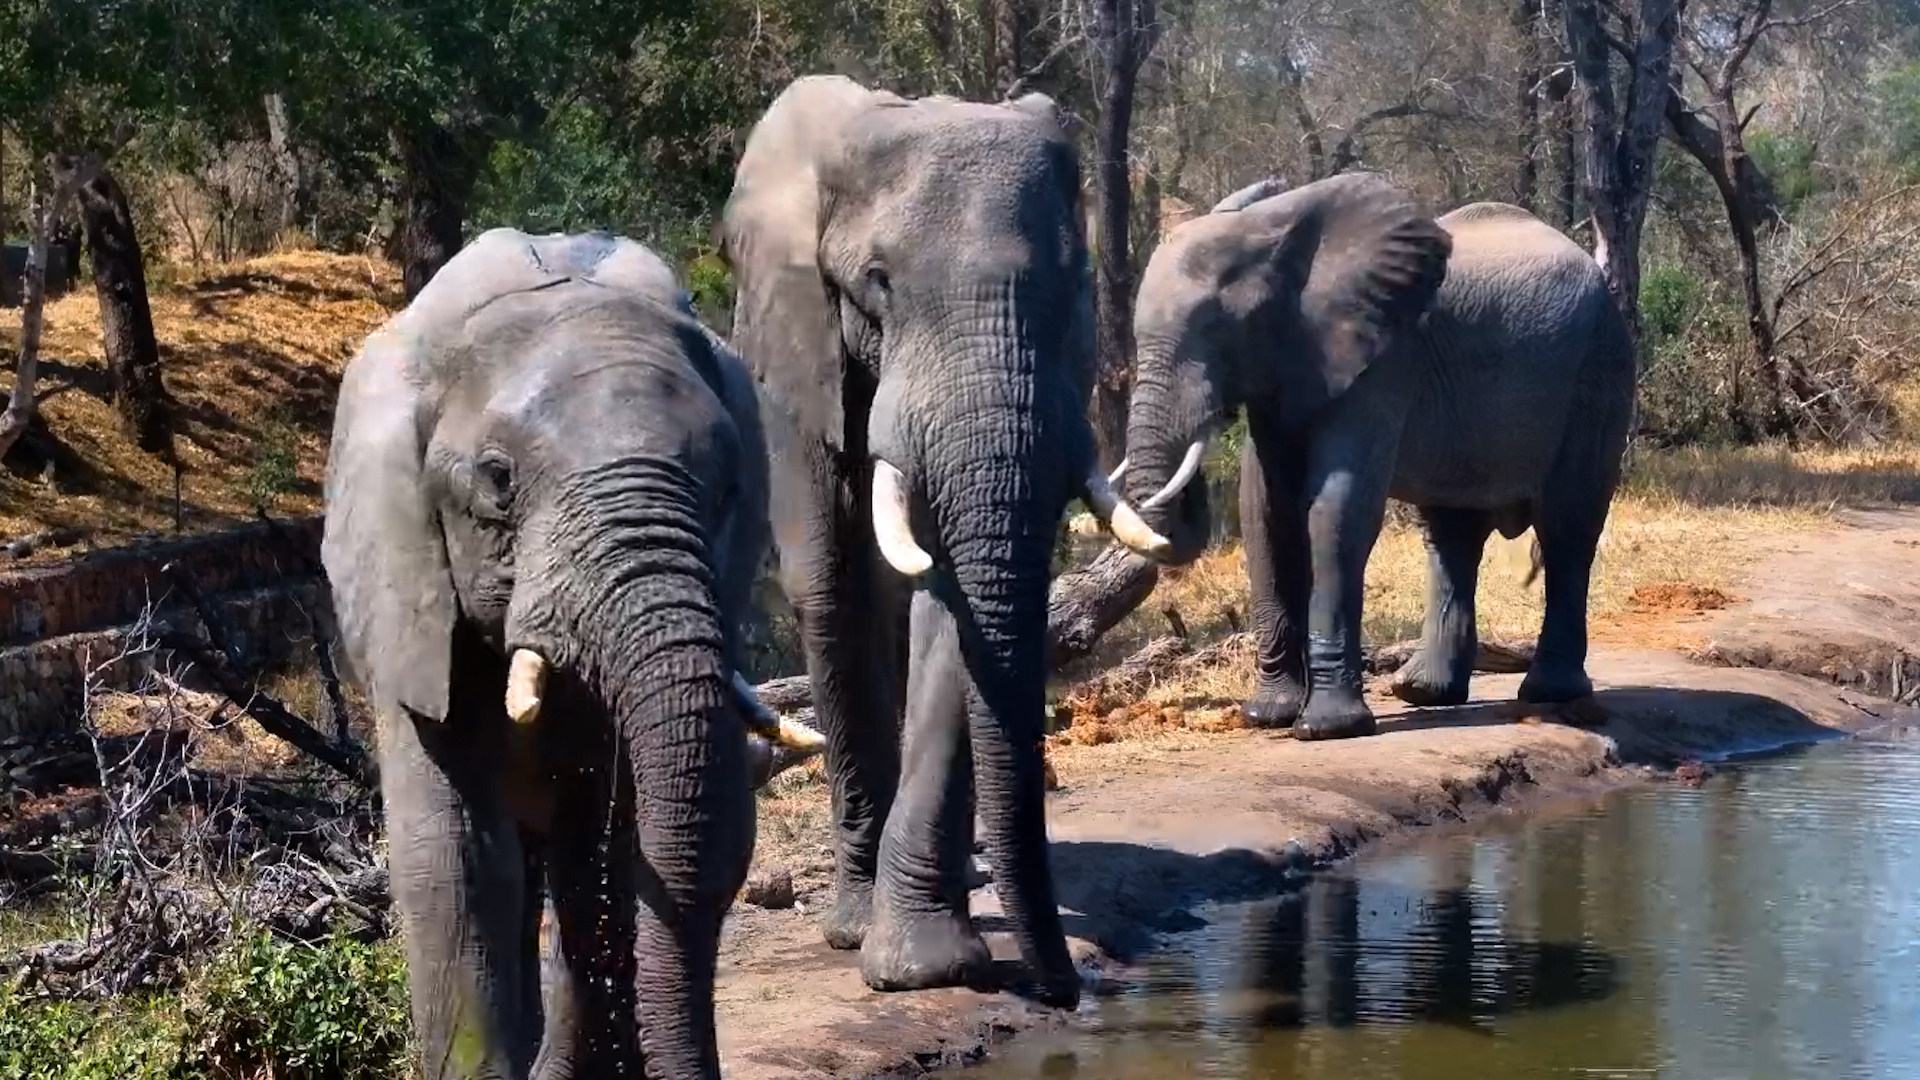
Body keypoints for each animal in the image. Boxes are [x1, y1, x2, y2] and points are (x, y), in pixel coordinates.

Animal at [716, 75, 1166, 1008]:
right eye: (878, 283)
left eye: (1070, 279)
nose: (1070, 992)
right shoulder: (797, 346)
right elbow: (835, 583)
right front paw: (898, 959)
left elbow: (946, 605)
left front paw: (928, 965)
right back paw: (858, 915)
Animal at [1118, 173, 1634, 740]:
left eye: (1221, 326)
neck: (1277, 231)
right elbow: (1264, 514)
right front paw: (1266, 716)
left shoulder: (1385, 360)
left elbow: (1337, 510)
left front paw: (1327, 729)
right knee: (1451, 535)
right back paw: (1424, 692)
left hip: (1599, 370)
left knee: (1567, 528)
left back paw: (1548, 693)